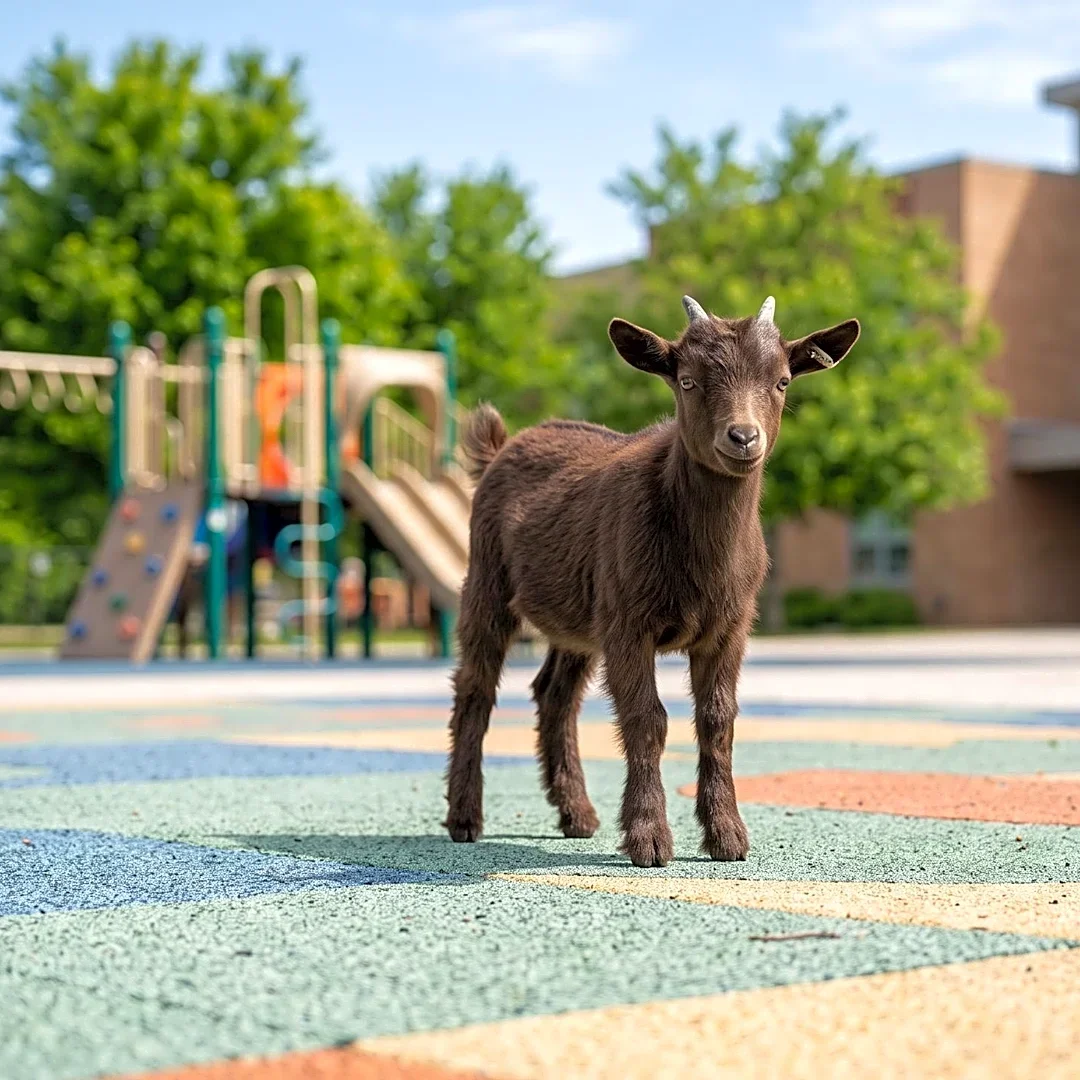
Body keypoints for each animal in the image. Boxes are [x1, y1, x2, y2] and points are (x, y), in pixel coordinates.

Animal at [446, 295, 860, 866]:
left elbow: (717, 719)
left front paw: (727, 836)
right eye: (686, 380)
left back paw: (577, 814)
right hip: (488, 581)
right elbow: (647, 718)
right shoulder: (627, 623)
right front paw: (648, 839)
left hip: (579, 618)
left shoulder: (729, 629)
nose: (743, 437)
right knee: (476, 688)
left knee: (554, 694)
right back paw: (465, 818)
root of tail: (500, 447)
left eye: (781, 381)